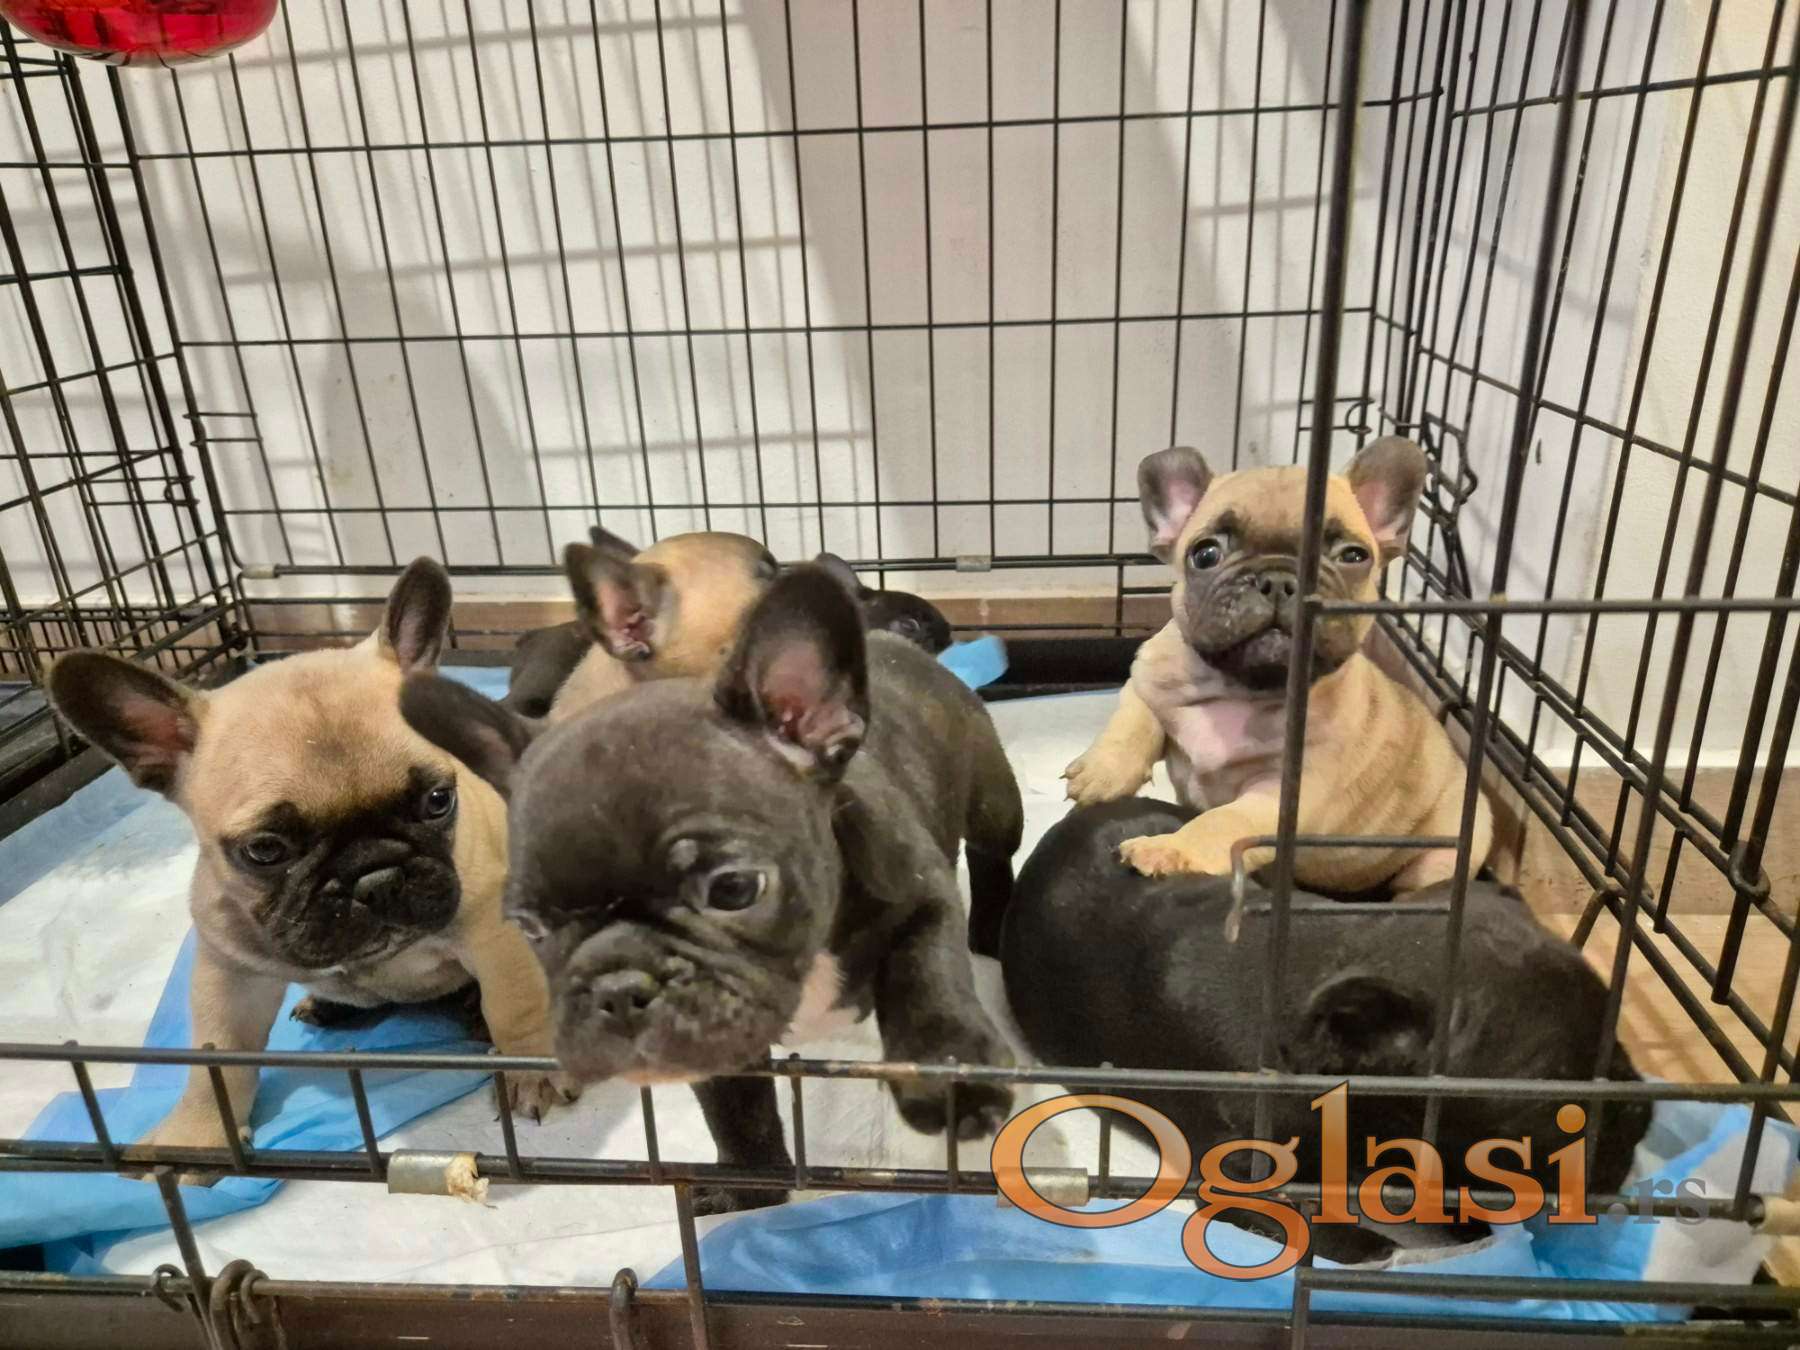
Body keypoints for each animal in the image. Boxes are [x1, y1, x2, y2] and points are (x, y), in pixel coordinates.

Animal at [46, 560, 575, 1175]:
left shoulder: (494, 934)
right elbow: (215, 1056)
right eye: (265, 850)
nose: (376, 877)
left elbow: (514, 1004)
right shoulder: (228, 973)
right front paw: (199, 1134)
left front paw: (530, 1072)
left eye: (438, 800)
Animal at [400, 565, 1024, 1213]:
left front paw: (950, 1077)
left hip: (993, 797)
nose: (618, 986)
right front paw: (750, 1186)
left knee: (992, 852)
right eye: (528, 926)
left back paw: (990, 927)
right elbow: (738, 1111)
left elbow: (925, 978)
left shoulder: (920, 895)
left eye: (734, 889)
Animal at [1064, 438, 1493, 892]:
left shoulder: (1280, 796)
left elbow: (1224, 820)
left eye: (1353, 555)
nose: (1280, 580)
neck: (1239, 686)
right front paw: (1102, 773)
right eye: (1206, 554)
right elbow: (1133, 719)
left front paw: (1168, 849)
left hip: (1443, 857)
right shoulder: (1147, 677)